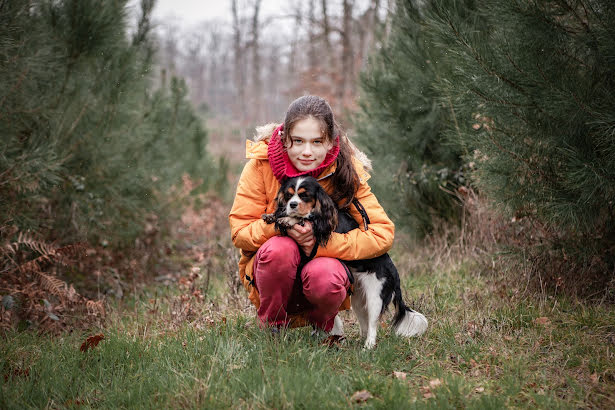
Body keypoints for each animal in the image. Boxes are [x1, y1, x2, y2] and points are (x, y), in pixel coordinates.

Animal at [264, 175, 428, 348]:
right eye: (289, 196)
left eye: (305, 196)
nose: (292, 205)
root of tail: (395, 273)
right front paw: (273, 215)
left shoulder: (322, 227)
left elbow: (304, 218)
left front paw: (288, 219)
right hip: (359, 298)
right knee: (365, 323)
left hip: (375, 296)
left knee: (373, 324)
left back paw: (368, 346)